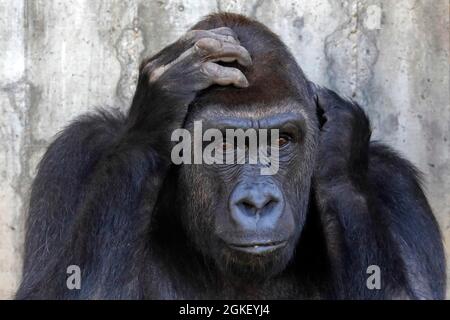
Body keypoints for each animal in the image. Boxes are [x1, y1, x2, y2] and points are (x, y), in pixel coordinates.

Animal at [15, 13, 444, 300]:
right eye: (223, 143)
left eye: (282, 140)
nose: (257, 202)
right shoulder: (75, 155)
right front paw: (160, 103)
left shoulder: (394, 185)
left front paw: (339, 148)